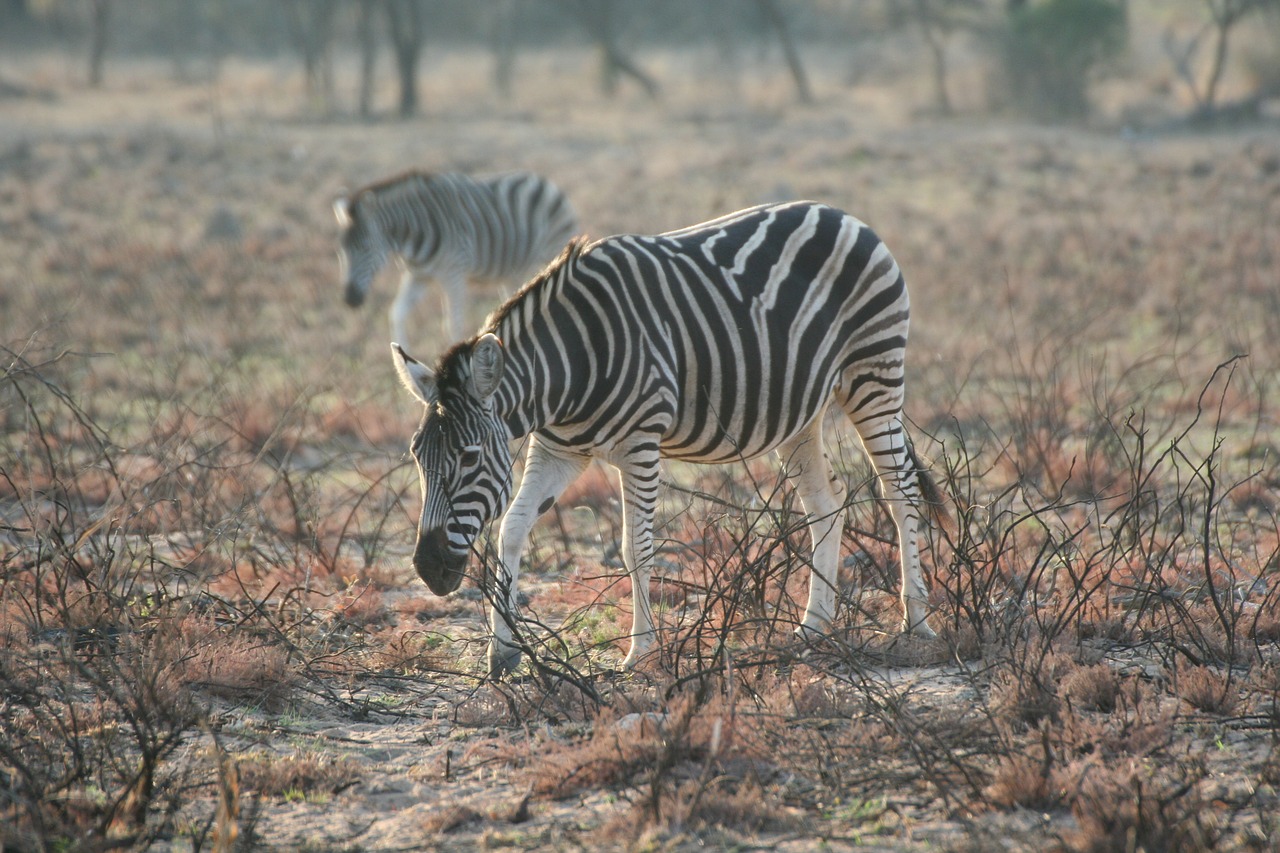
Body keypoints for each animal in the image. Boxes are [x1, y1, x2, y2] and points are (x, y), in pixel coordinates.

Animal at [340, 169, 581, 345]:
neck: (412, 235)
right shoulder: (419, 276)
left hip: (552, 250)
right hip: (515, 270)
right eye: (341, 250)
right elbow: (397, 314)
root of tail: (546, 182)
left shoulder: (453, 273)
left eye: (366, 248)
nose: (350, 299)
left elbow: (452, 325)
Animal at [394, 201, 947, 676]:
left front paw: (640, 653)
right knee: (825, 500)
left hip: (874, 373)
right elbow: (511, 528)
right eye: (418, 457)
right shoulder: (558, 450)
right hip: (800, 412)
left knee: (901, 491)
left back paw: (916, 621)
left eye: (468, 457)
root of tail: (844, 215)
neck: (567, 368)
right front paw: (502, 652)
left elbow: (634, 547)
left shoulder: (639, 446)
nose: (428, 568)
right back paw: (814, 627)